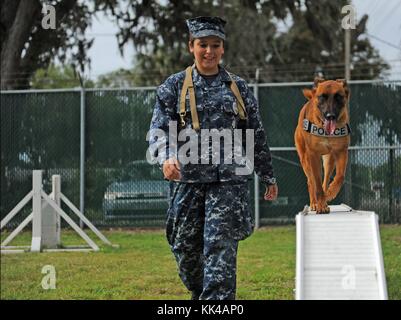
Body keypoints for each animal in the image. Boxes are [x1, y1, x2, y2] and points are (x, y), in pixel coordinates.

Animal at [294, 77, 350, 212]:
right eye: (322, 97)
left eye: (338, 96)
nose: (330, 116)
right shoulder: (313, 155)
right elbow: (317, 183)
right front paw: (319, 204)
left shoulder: (341, 151)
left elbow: (340, 177)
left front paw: (329, 194)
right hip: (305, 160)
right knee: (311, 182)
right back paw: (315, 203)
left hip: (329, 160)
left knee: (325, 180)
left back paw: (325, 198)